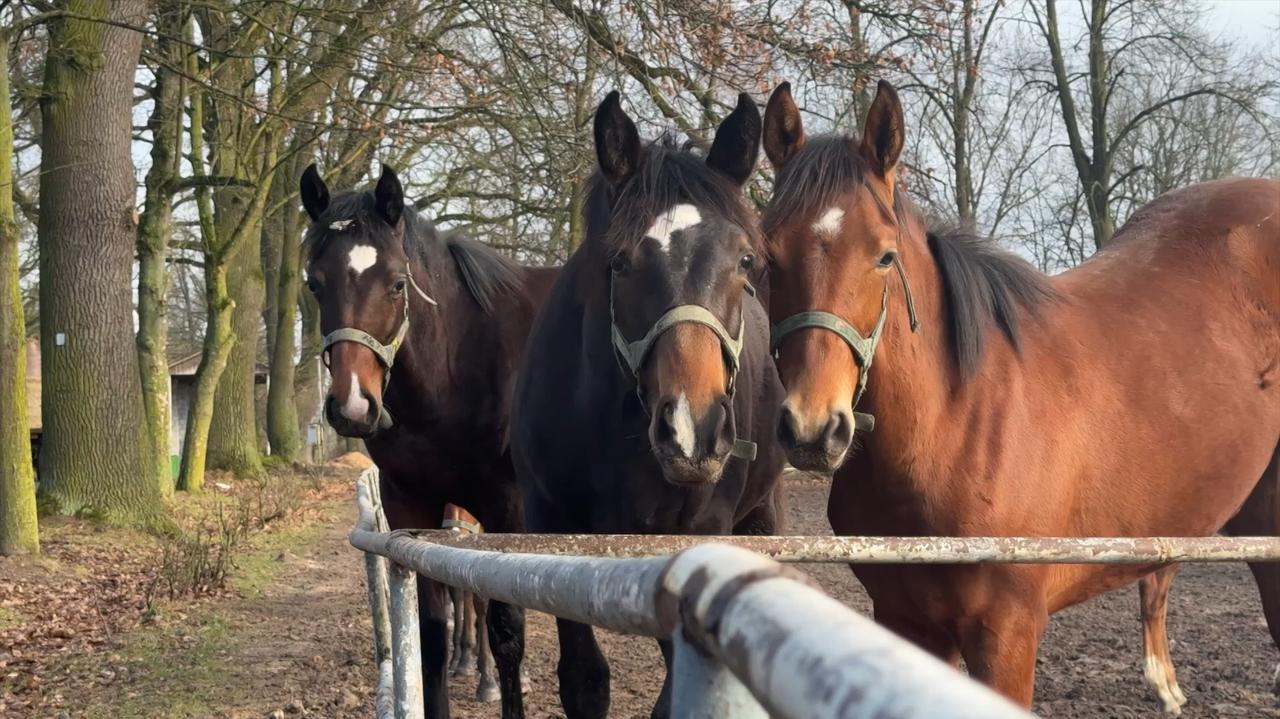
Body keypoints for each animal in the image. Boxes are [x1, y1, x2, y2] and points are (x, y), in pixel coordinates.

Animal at [304, 163, 560, 716]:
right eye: (315, 284)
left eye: (397, 284)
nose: (353, 407)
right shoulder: (411, 506)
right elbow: (430, 635)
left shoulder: (507, 509)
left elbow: (506, 628)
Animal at [512, 90, 788, 716]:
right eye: (619, 262)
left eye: (744, 262)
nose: (693, 430)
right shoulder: (549, 528)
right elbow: (583, 678)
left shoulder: (699, 536)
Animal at [757, 81, 1280, 706]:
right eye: (767, 256)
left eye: (884, 255)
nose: (813, 429)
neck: (957, 425)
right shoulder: (906, 621)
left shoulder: (1006, 633)